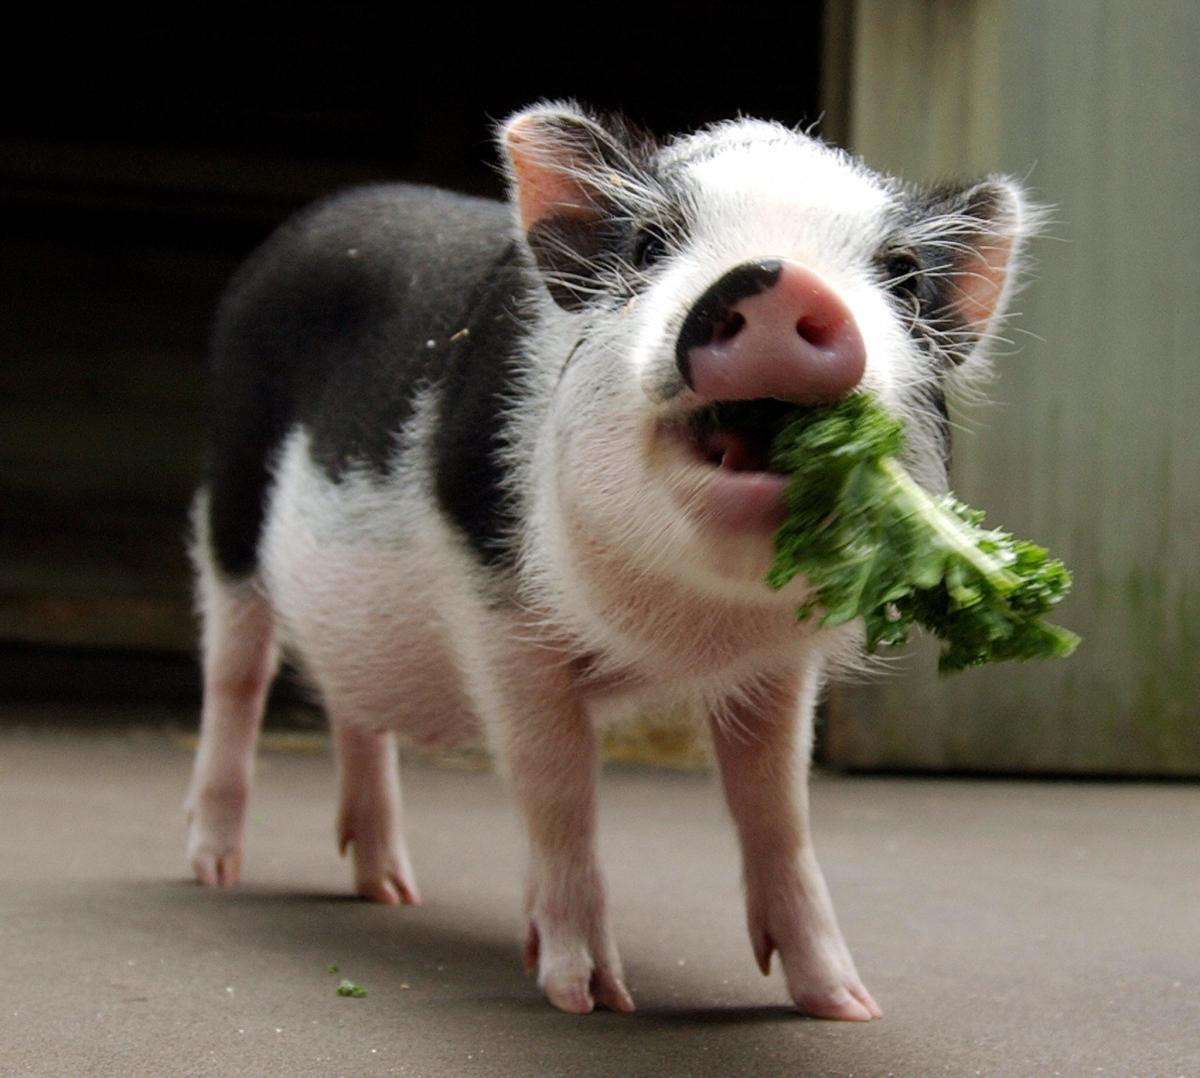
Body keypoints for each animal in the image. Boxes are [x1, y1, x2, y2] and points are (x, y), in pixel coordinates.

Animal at [184, 101, 1032, 1020]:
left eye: (904, 276)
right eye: (649, 245)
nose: (778, 279)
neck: (686, 629)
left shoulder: (776, 667)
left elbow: (777, 807)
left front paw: (847, 1006)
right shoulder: (501, 616)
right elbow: (558, 789)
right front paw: (588, 998)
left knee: (353, 706)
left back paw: (392, 892)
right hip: (228, 493)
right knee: (235, 675)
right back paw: (213, 872)